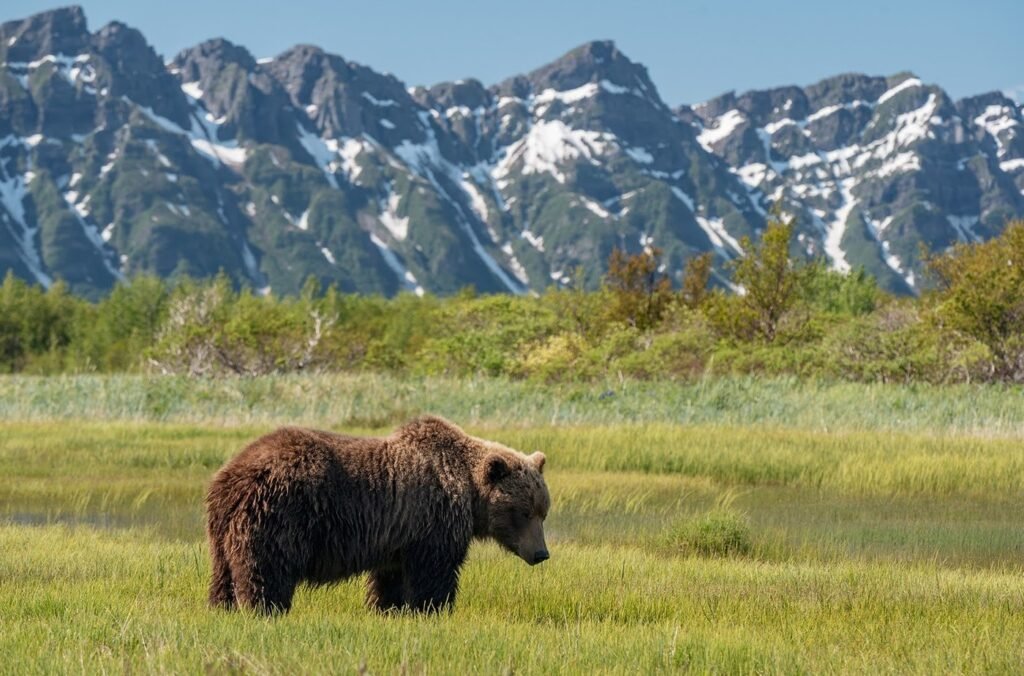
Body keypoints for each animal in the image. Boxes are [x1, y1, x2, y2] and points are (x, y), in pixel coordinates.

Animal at [202, 413, 548, 614]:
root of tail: (231, 476)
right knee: (267, 567)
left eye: (543, 511)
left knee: (223, 572)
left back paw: (222, 608)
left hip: (224, 530)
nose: (541, 553)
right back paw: (264, 609)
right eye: (522, 512)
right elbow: (435, 572)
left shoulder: (399, 535)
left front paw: (388, 608)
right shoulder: (434, 521)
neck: (468, 488)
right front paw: (434, 609)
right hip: (279, 513)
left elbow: (391, 578)